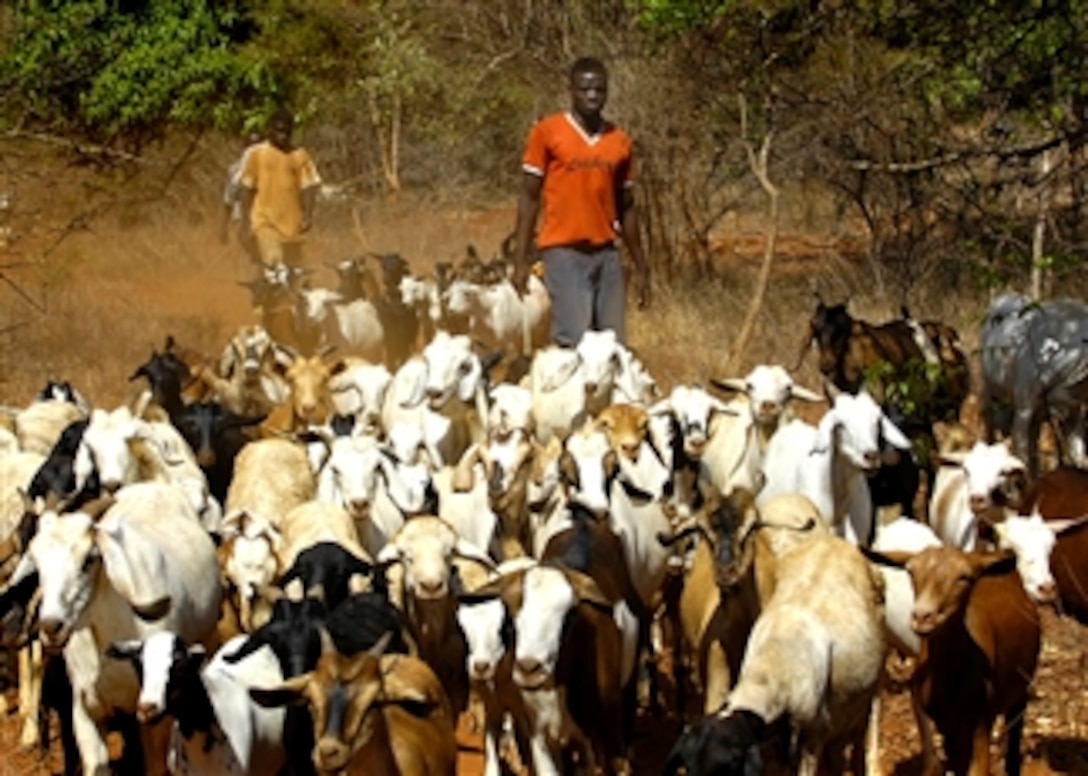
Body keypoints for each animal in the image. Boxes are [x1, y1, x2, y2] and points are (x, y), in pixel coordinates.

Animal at [979, 291, 1088, 472]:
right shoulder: (1024, 410)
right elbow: (1022, 458)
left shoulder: (1073, 411)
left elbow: (1078, 454)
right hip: (988, 395)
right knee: (990, 434)